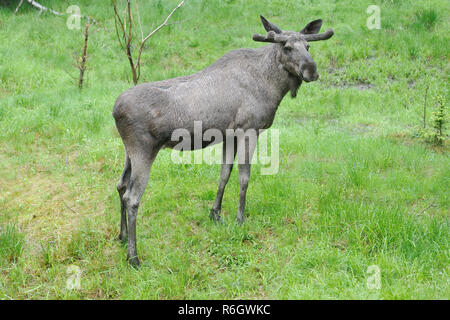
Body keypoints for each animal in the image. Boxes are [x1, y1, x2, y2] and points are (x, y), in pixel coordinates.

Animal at [113, 15, 334, 264]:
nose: (312, 71)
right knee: (132, 197)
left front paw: (215, 213)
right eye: (287, 47)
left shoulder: (230, 134)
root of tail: (114, 110)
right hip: (144, 150)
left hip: (128, 151)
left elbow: (224, 174)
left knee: (120, 185)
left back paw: (122, 237)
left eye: (308, 46)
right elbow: (244, 178)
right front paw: (240, 219)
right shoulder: (250, 129)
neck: (273, 86)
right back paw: (133, 256)